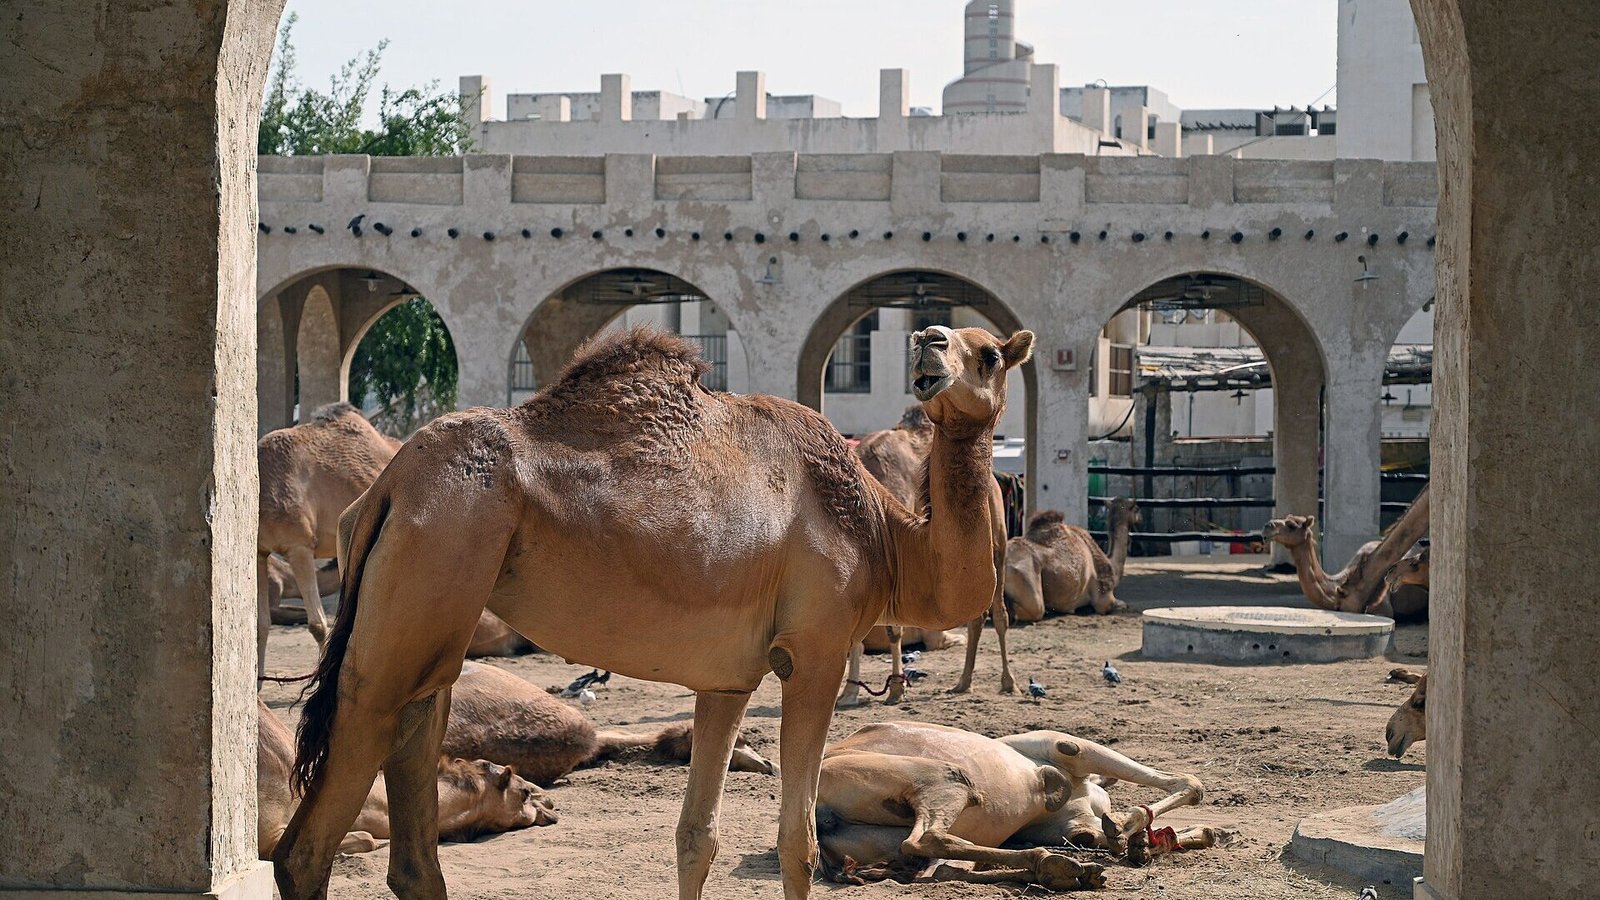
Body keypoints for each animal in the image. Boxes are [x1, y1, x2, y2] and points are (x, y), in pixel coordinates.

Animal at [815, 721, 1225, 890]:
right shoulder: (1068, 748)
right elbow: (1190, 784)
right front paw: (1128, 828)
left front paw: (1142, 842)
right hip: (945, 779)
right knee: (925, 840)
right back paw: (1062, 866)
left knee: (937, 867)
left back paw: (1069, 871)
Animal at [844, 405, 1013, 704]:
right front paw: (849, 692)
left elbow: (893, 627)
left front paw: (896, 689)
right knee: (977, 614)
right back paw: (963, 683)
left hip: (998, 541)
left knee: (999, 612)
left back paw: (1008, 682)